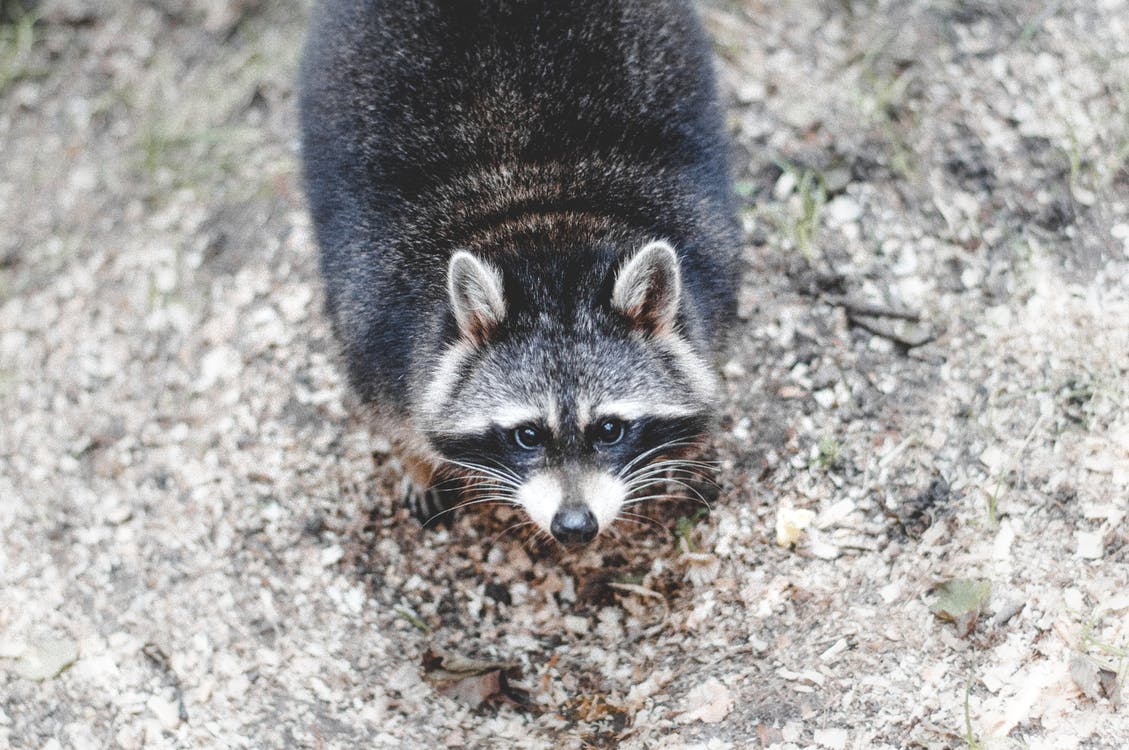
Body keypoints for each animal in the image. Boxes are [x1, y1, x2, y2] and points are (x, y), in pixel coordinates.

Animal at [300, 0, 740, 544]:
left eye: (609, 429)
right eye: (527, 435)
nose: (574, 526)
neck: (542, 222)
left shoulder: (710, 261)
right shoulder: (374, 314)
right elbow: (389, 408)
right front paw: (415, 461)